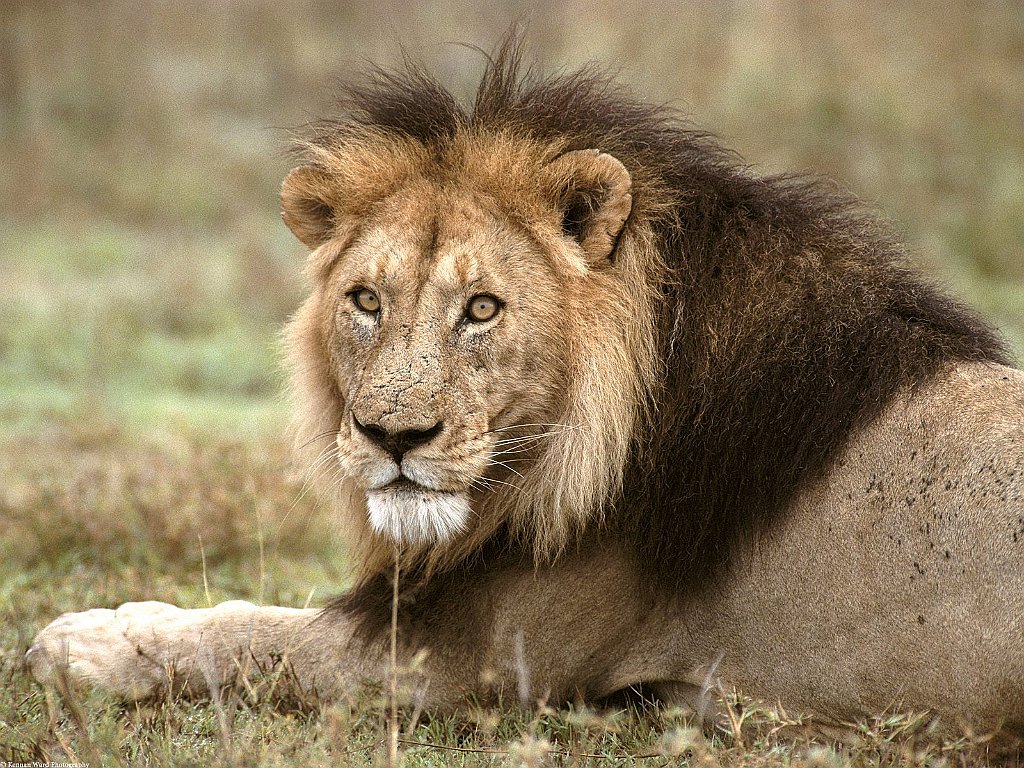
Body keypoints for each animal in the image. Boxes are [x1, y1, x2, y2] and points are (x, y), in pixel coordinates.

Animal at [24, 43, 1024, 745]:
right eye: (366, 300)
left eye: (482, 308)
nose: (392, 437)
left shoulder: (468, 660)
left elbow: (257, 639)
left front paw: (83, 642)